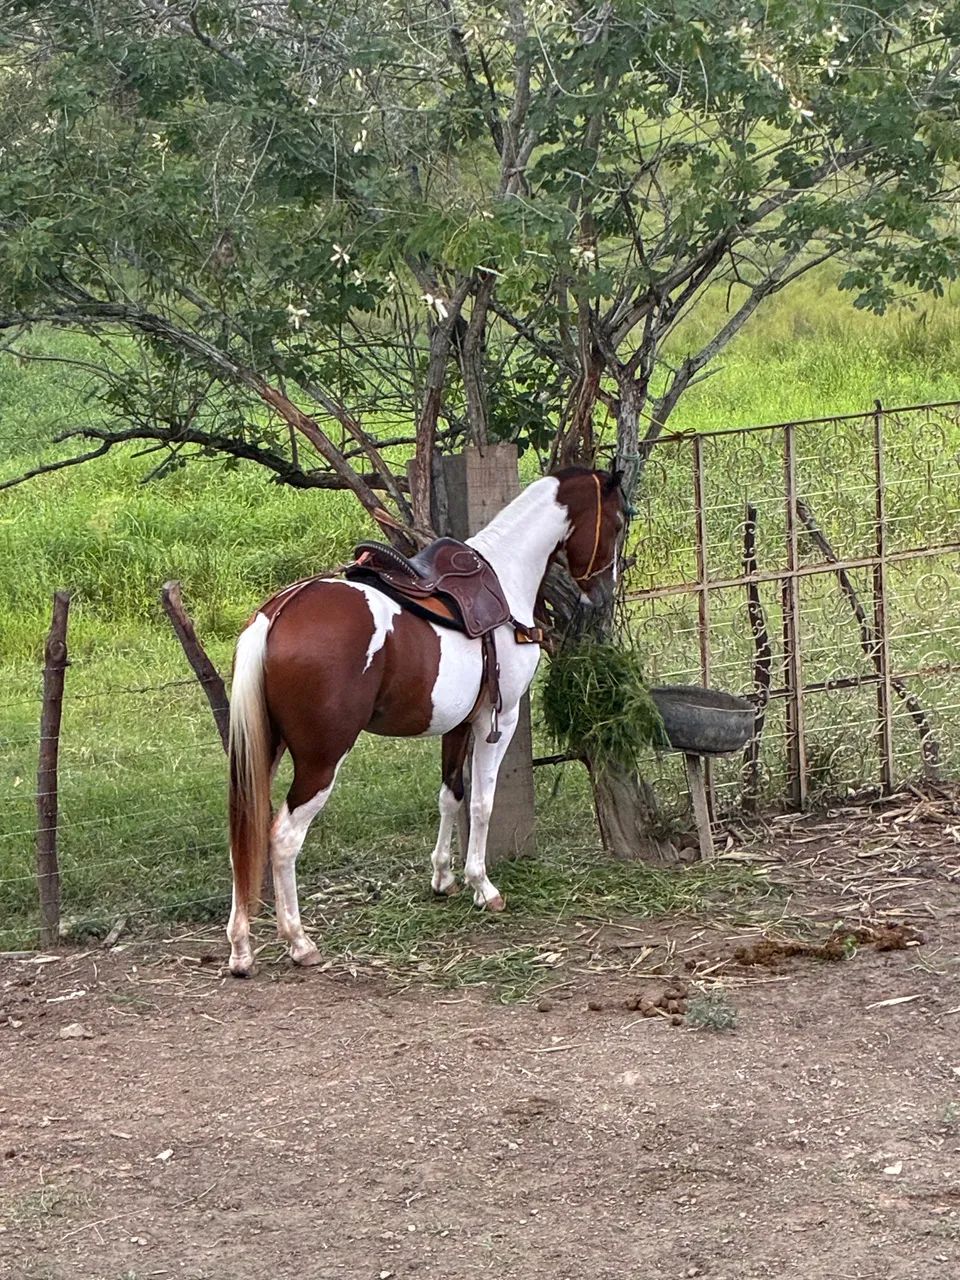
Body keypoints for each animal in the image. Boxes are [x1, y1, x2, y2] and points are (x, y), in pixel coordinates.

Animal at [225, 466, 626, 976]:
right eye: (617, 522)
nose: (602, 592)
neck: (507, 576)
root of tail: (278, 612)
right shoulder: (499, 719)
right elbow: (482, 804)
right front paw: (483, 887)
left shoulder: (457, 725)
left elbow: (451, 796)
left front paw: (443, 878)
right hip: (321, 760)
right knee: (282, 838)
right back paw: (299, 942)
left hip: (264, 751)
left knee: (245, 837)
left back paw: (240, 949)